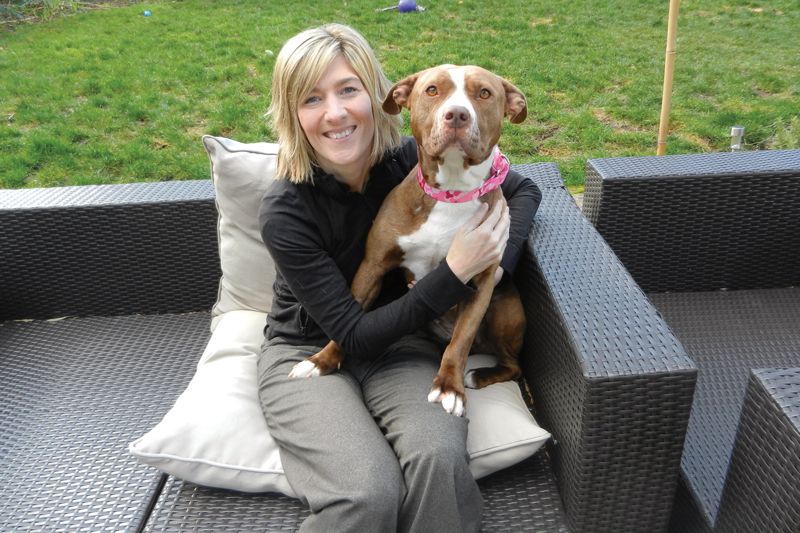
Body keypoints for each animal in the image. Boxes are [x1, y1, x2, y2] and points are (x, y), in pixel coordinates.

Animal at [290, 65, 528, 416]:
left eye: (484, 93)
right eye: (432, 90)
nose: (457, 115)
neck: (451, 193)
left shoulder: (482, 283)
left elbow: (461, 340)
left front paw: (449, 386)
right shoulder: (373, 265)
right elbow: (351, 318)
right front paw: (323, 360)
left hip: (504, 308)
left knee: (513, 365)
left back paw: (476, 375)